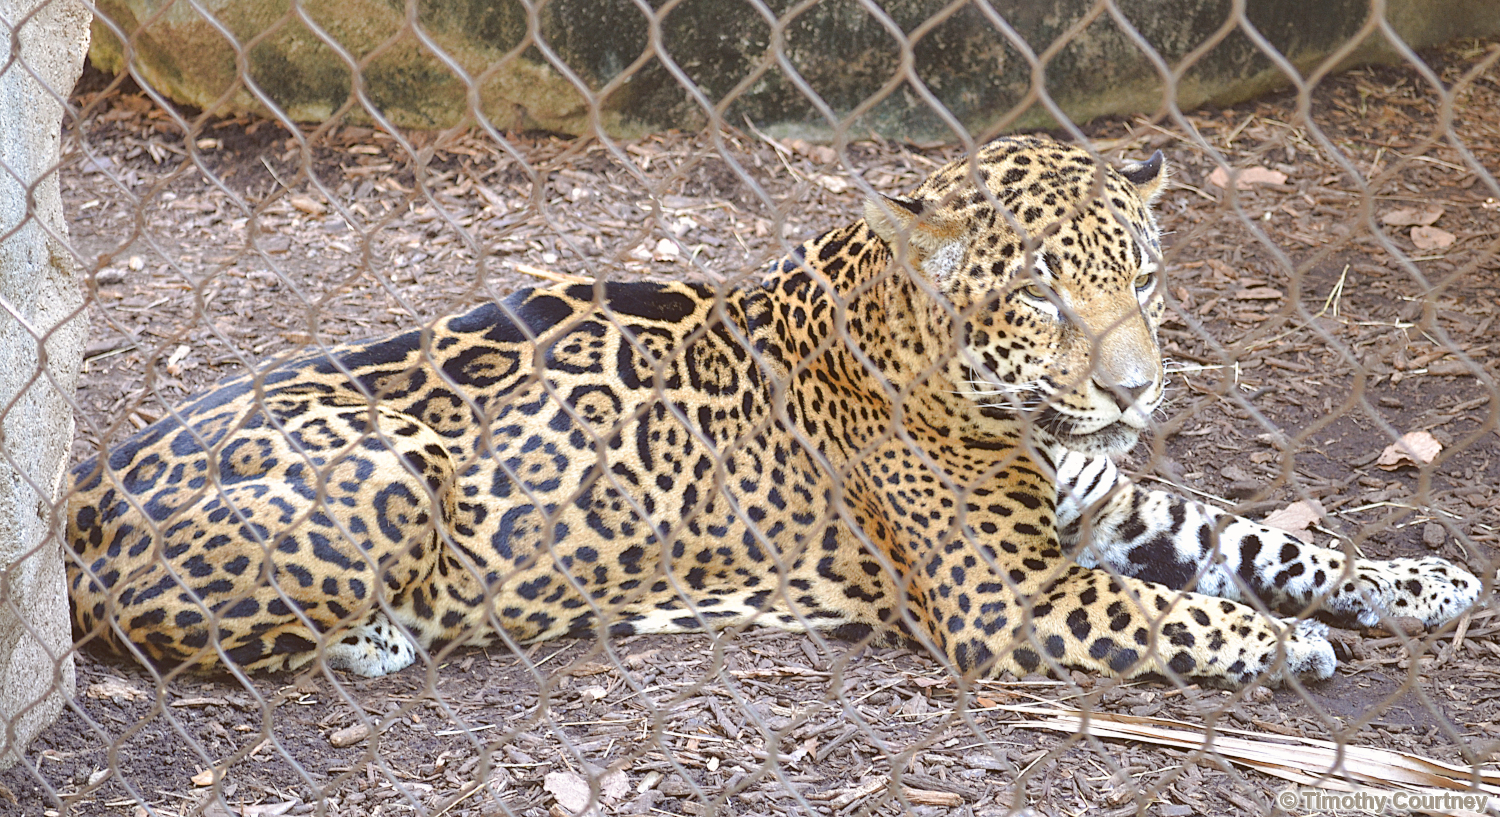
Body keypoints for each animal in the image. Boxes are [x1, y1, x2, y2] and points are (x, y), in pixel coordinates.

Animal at [67, 135, 1481, 687]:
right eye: (1040, 293)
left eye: (1139, 278)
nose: (1135, 389)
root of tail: (75, 488)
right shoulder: (1014, 595)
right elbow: (1181, 613)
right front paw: (1287, 645)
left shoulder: (1106, 503)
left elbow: (1261, 537)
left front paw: (1417, 581)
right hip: (394, 469)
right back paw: (379, 637)